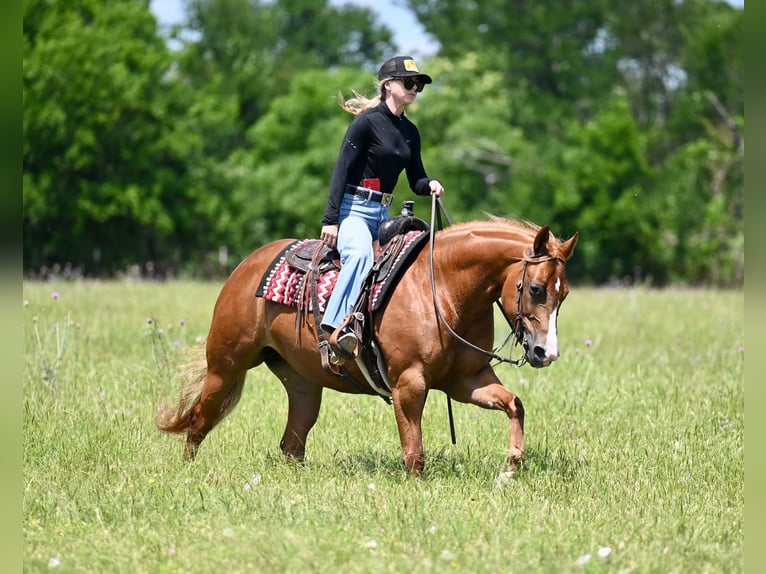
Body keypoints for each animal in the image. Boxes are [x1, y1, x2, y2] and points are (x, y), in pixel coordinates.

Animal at [156, 216, 578, 475]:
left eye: (565, 294)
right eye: (536, 289)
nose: (546, 354)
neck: (441, 288)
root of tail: (246, 266)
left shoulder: (467, 380)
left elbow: (514, 404)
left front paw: (511, 467)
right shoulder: (409, 384)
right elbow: (414, 453)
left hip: (302, 383)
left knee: (292, 442)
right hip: (226, 365)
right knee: (198, 421)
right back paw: (187, 471)